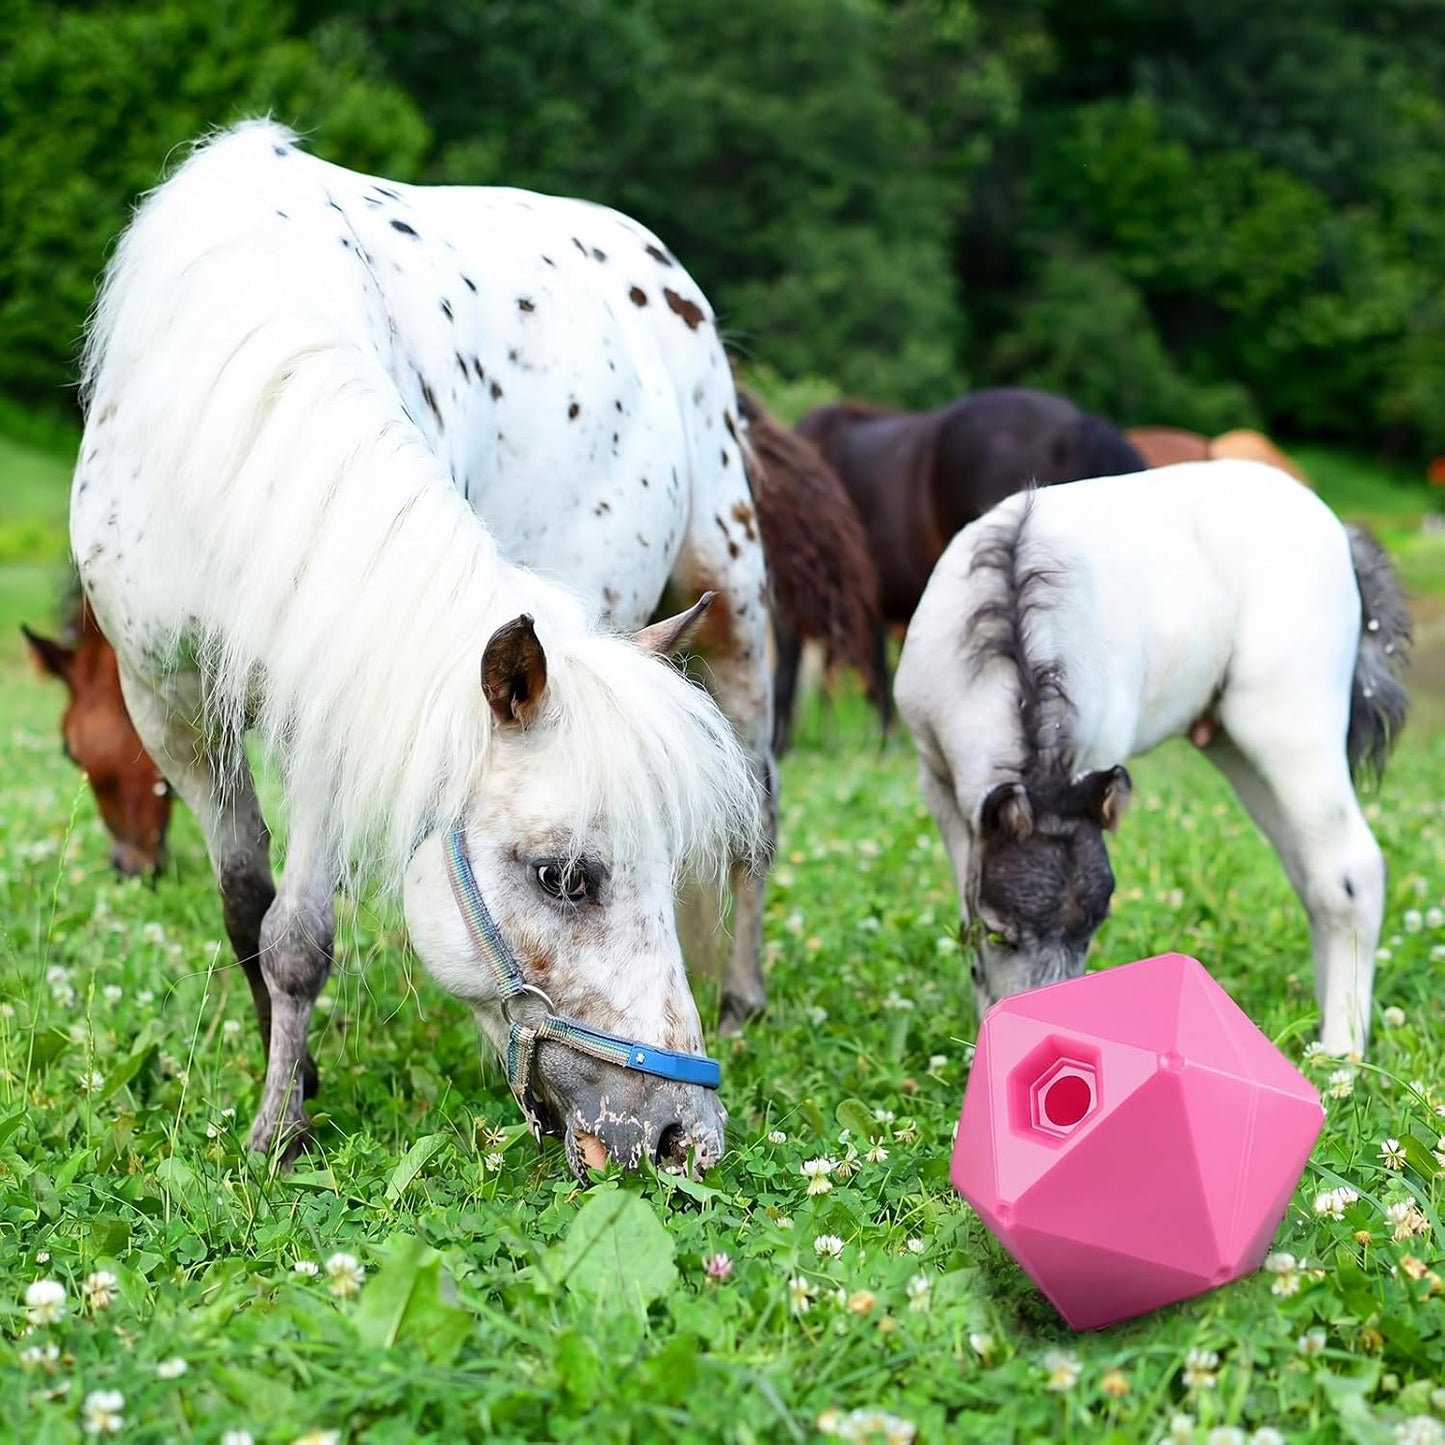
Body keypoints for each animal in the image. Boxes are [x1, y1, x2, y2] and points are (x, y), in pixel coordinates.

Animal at [72, 121, 774, 1178]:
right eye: (564, 877)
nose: (681, 1136)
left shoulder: (333, 710)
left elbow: (298, 935)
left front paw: (281, 1128)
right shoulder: (174, 716)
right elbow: (247, 910)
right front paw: (292, 1093)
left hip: (734, 606)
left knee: (756, 822)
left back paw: (741, 999)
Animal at [894, 460, 1409, 1059]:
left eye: (1094, 929)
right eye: (1003, 932)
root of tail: (1342, 535)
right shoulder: (937, 778)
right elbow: (966, 913)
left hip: (1290, 722)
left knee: (1349, 869)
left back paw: (1342, 1050)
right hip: (1235, 743)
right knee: (1312, 876)